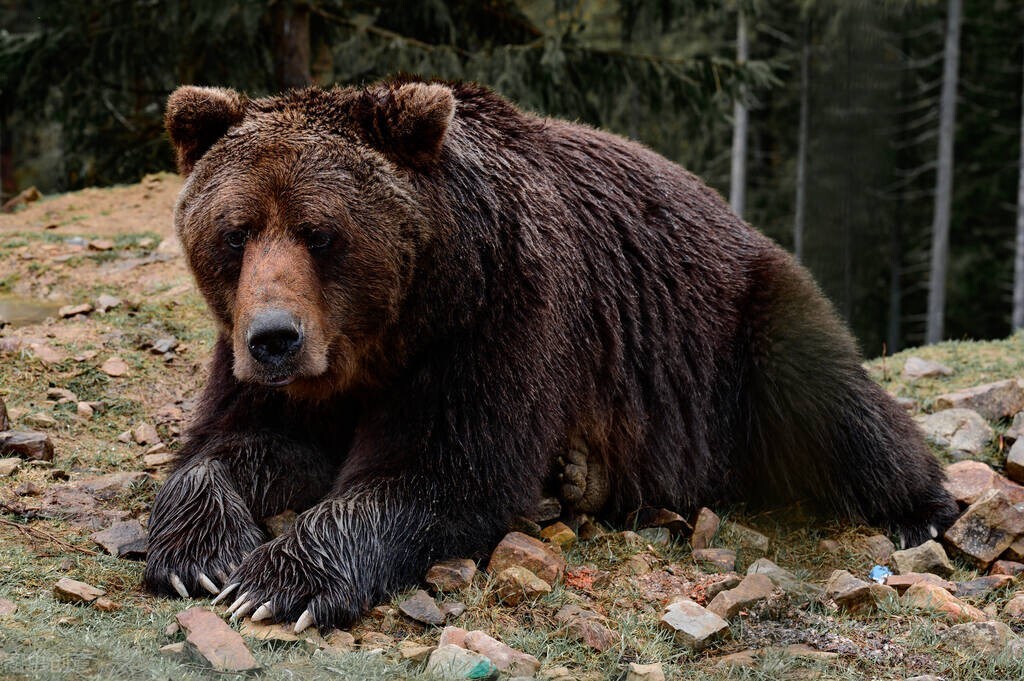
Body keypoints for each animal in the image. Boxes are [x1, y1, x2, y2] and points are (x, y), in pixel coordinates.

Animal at [146, 76, 958, 630]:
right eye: (236, 231)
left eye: (321, 232)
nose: (275, 338)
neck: (390, 332)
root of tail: (734, 215)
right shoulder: (285, 372)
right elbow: (233, 445)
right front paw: (201, 557)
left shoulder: (496, 319)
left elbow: (444, 472)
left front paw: (280, 582)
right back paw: (577, 479)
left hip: (743, 323)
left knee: (833, 402)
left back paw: (922, 509)